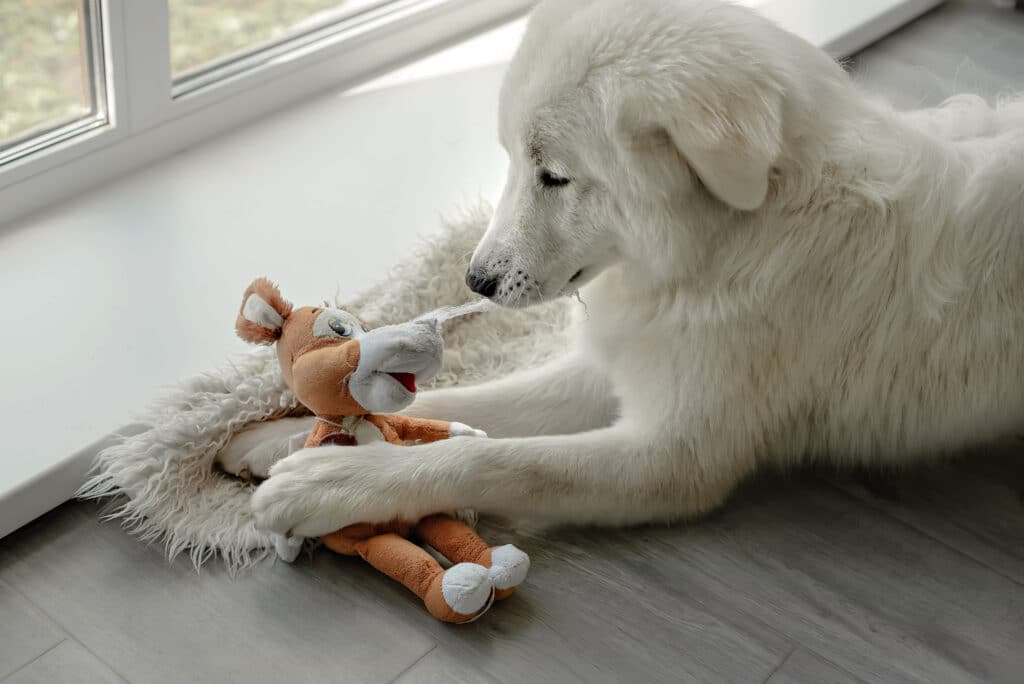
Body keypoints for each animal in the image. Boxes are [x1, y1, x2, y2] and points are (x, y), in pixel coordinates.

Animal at [232, 0, 1024, 536]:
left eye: (554, 176)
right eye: (513, 160)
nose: (474, 282)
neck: (734, 242)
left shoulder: (668, 457)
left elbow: (500, 460)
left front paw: (335, 481)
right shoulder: (620, 362)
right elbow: (462, 404)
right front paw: (281, 436)